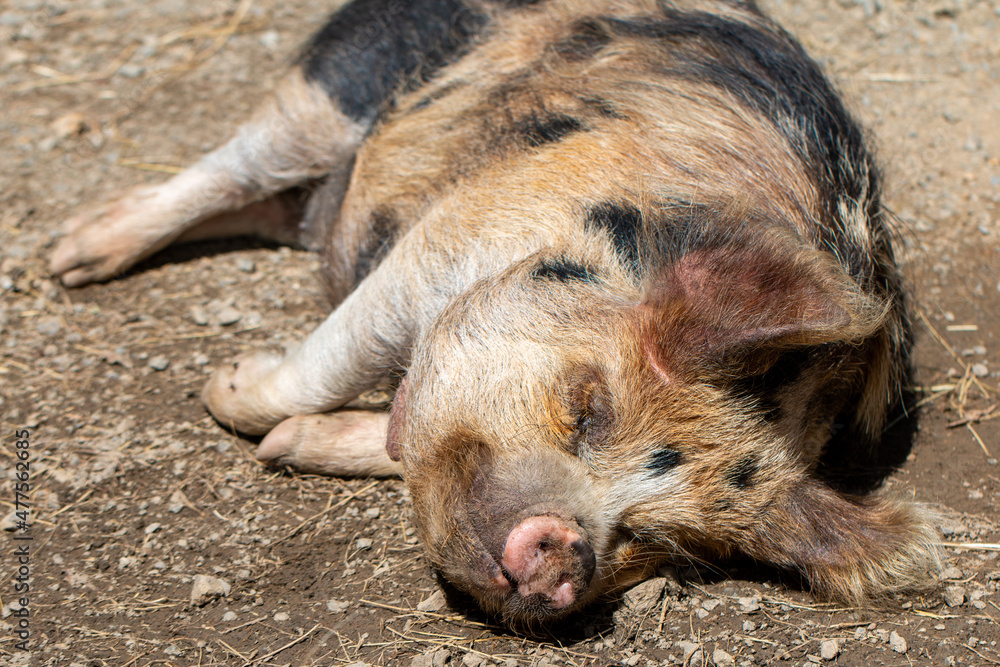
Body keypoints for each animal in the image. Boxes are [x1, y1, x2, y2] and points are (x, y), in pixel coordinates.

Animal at [51, 0, 939, 625]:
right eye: (588, 405)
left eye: (661, 539)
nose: (562, 548)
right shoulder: (451, 235)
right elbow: (331, 358)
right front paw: (227, 387)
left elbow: (393, 431)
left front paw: (284, 447)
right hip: (342, 75)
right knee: (239, 165)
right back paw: (69, 255)